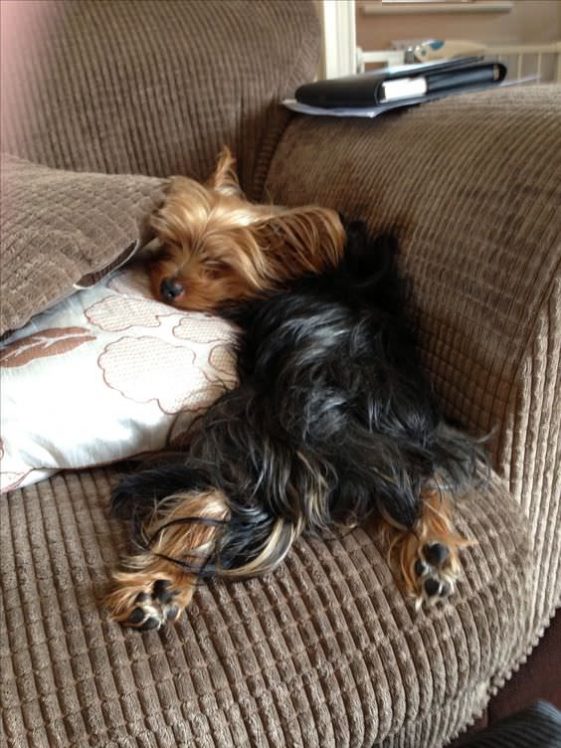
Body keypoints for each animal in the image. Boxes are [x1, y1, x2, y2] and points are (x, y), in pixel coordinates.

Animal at [106, 149, 482, 628]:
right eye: (170, 245)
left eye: (218, 266)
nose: (168, 286)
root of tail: (336, 418)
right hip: (405, 426)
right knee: (417, 472)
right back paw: (432, 552)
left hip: (243, 423)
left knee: (217, 495)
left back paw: (158, 586)